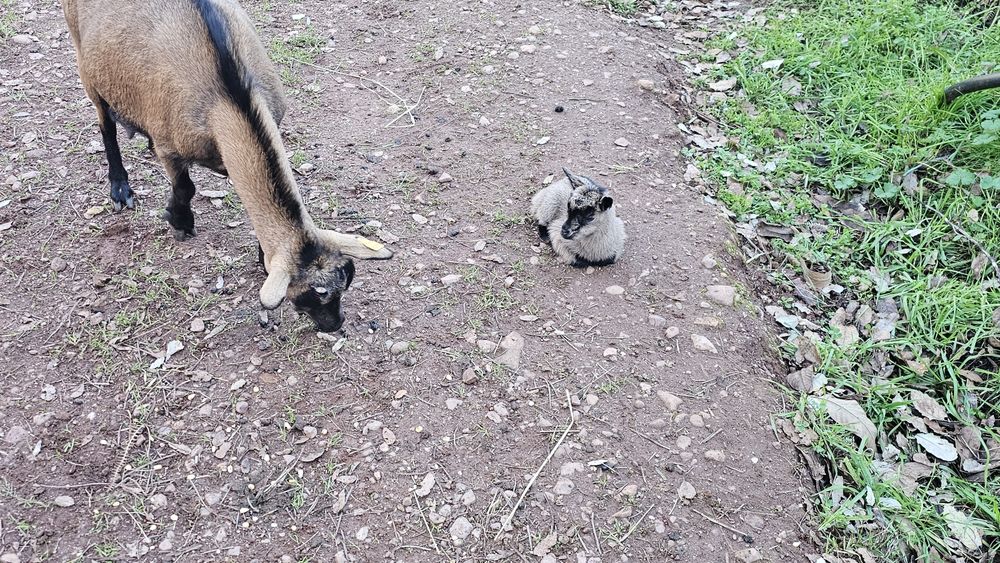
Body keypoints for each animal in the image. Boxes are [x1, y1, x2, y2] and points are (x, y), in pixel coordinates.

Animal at [62, 0, 393, 332]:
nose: (335, 324)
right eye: (312, 295)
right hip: (85, 63)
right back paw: (120, 188)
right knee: (105, 123)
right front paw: (180, 222)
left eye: (346, 279)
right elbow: (185, 186)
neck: (229, 95)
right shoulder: (169, 144)